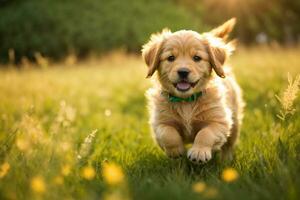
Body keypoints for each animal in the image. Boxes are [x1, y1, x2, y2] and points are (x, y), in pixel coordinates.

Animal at [142, 18, 244, 163]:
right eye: (171, 58)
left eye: (197, 58)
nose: (183, 72)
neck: (186, 101)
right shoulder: (159, 122)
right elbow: (168, 133)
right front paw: (175, 151)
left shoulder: (220, 121)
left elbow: (205, 133)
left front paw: (199, 152)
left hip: (234, 122)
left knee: (229, 145)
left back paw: (225, 160)